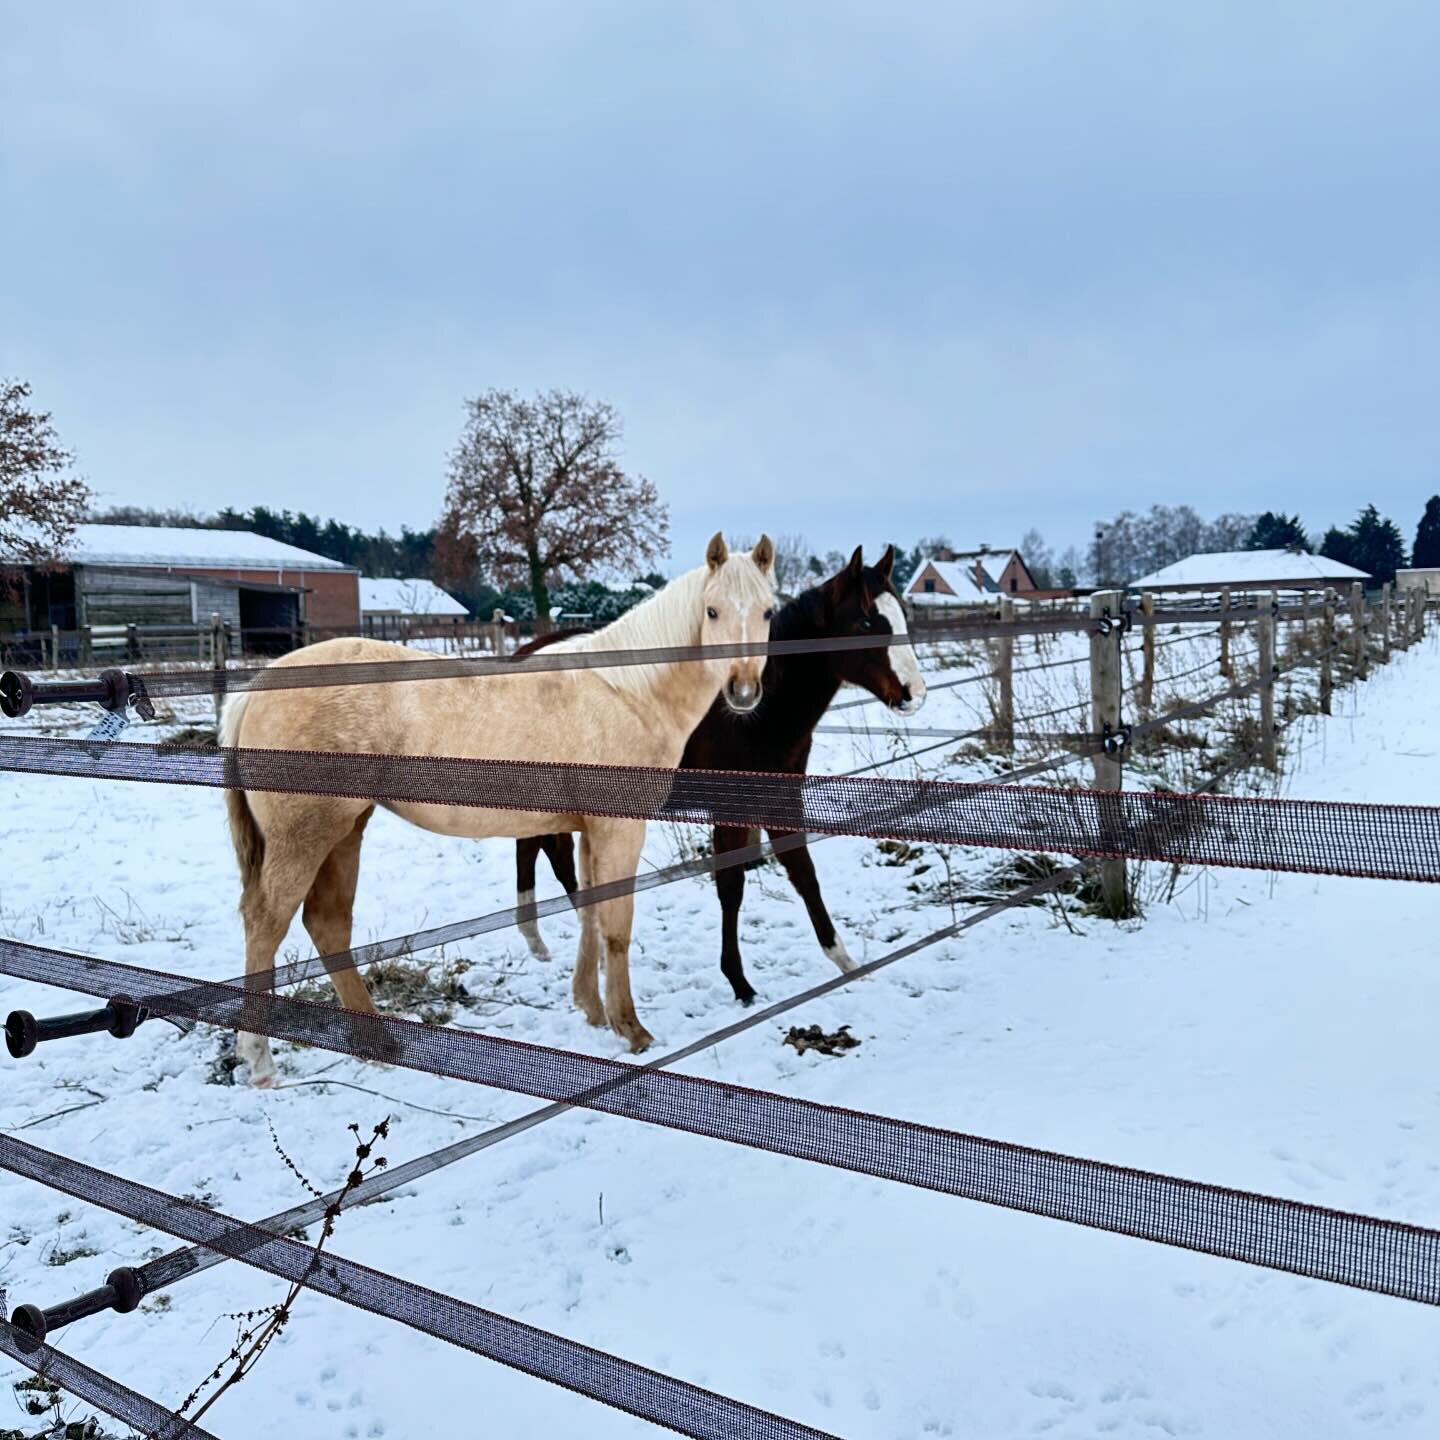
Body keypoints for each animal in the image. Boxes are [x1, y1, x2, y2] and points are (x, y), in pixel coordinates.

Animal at [218, 535, 777, 1082]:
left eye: (769, 611)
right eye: (712, 610)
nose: (744, 691)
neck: (627, 694)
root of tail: (255, 688)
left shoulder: (590, 831)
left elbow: (590, 914)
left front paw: (592, 1010)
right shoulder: (619, 829)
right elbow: (615, 926)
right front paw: (631, 1031)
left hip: (346, 829)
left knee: (328, 924)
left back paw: (377, 1044)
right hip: (306, 836)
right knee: (266, 924)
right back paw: (260, 1060)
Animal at [512, 544, 927, 1008]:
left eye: (901, 614)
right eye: (866, 622)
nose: (913, 694)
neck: (753, 710)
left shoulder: (778, 799)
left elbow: (803, 872)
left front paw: (847, 963)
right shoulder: (728, 806)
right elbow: (731, 886)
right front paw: (739, 982)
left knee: (544, 847)